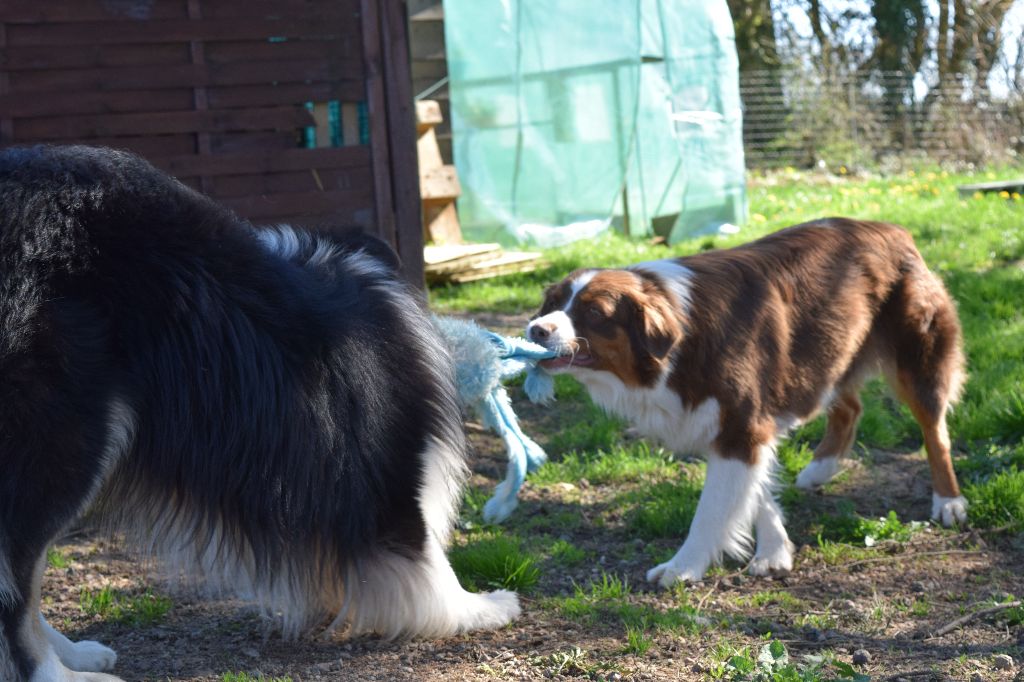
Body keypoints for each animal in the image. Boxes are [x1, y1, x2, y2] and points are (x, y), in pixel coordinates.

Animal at [0, 146, 516, 675]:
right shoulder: (394, 467)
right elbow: (428, 550)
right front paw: (480, 608)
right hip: (65, 439)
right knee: (14, 585)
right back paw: (55, 674)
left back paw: (77, 653)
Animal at [528, 216, 966, 585]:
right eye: (553, 303)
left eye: (594, 313)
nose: (535, 329)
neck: (680, 342)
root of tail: (892, 228)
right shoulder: (744, 426)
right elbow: (757, 490)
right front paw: (774, 550)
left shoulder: (741, 424)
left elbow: (711, 511)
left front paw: (683, 567)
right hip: (830, 352)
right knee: (850, 407)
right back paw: (819, 470)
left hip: (916, 359)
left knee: (935, 431)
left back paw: (949, 501)